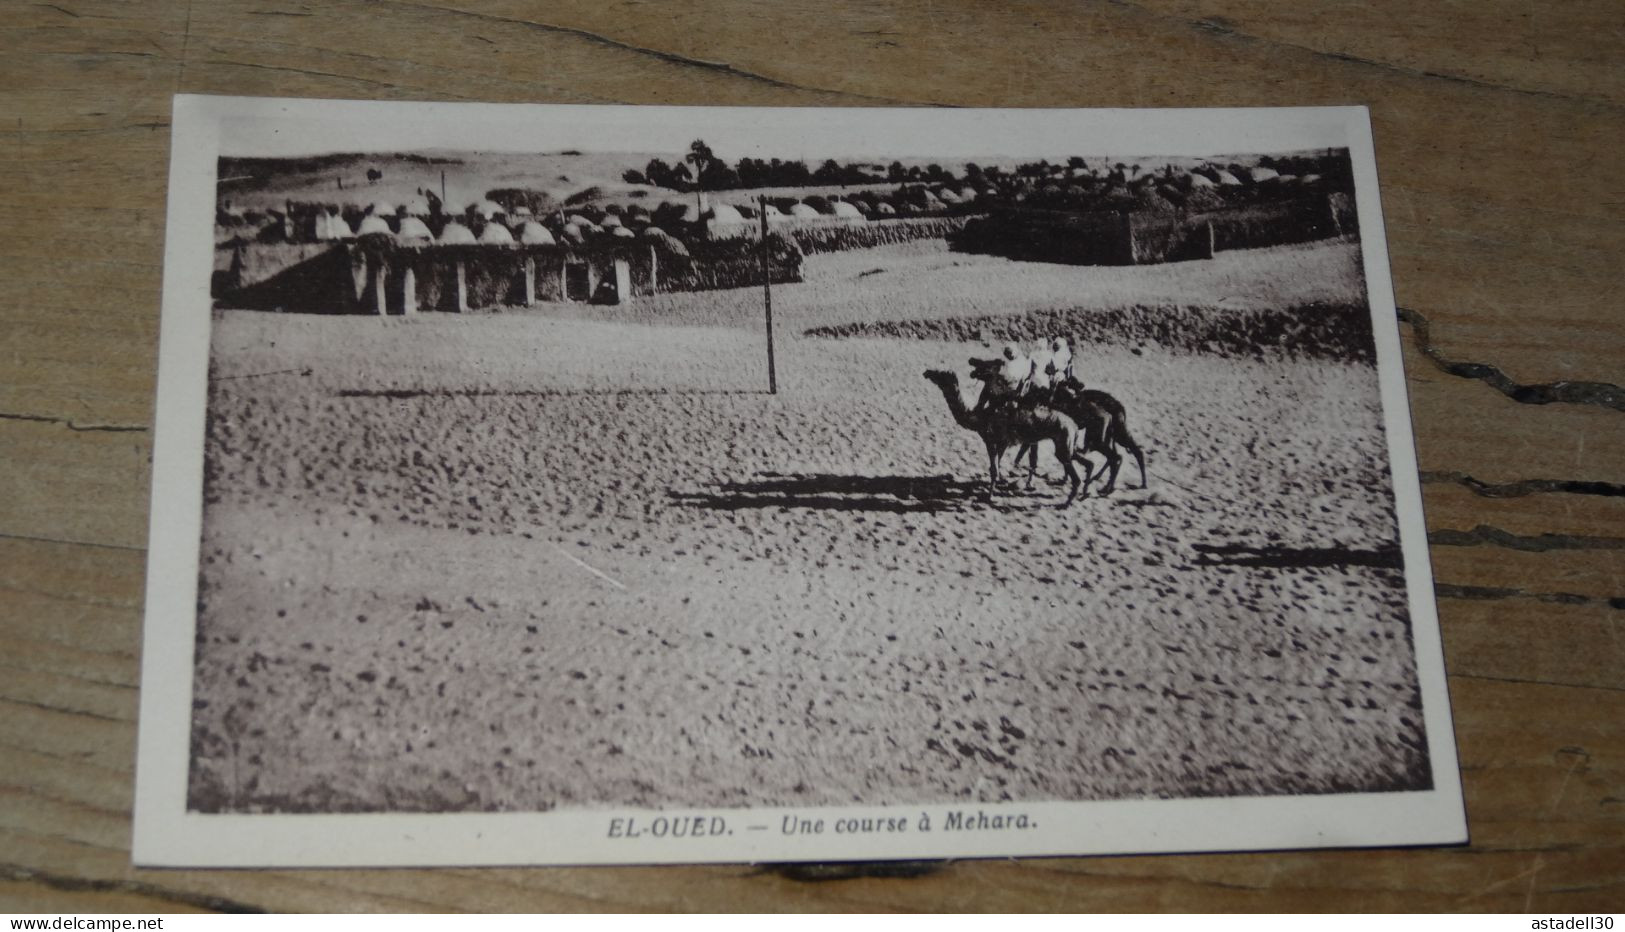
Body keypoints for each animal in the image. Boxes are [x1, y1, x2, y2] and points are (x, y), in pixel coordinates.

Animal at [923, 368, 1085, 506]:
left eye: (941, 374)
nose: (927, 372)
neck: (980, 417)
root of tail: (1075, 426)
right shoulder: (1002, 442)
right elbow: (998, 463)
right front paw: (999, 483)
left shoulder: (990, 440)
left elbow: (993, 469)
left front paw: (989, 496)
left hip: (1063, 444)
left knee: (1075, 476)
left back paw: (1066, 502)